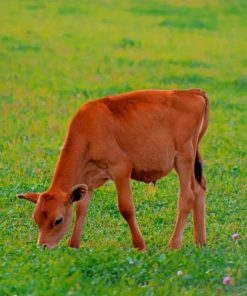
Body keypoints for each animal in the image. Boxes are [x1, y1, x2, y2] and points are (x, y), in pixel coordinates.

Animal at [17, 89, 208, 250]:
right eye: (36, 219)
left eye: (58, 220)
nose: (43, 246)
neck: (88, 130)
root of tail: (192, 92)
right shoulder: (88, 180)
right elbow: (81, 208)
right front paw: (73, 244)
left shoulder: (121, 169)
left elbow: (126, 208)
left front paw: (140, 246)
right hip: (192, 159)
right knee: (199, 189)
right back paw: (200, 242)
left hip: (184, 157)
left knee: (187, 196)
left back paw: (174, 244)